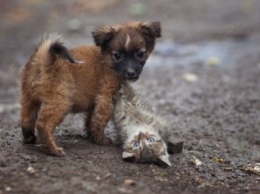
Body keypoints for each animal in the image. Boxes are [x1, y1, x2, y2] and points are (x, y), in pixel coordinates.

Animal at [19, 21, 160, 155]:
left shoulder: (94, 103)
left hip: (28, 98)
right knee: (43, 124)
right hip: (61, 101)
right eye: (117, 55)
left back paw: (30, 138)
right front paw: (100, 140)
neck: (106, 60)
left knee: (26, 118)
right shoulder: (106, 98)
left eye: (140, 54)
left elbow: (91, 120)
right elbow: (100, 121)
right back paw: (53, 150)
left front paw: (91, 136)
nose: (131, 72)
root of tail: (43, 59)